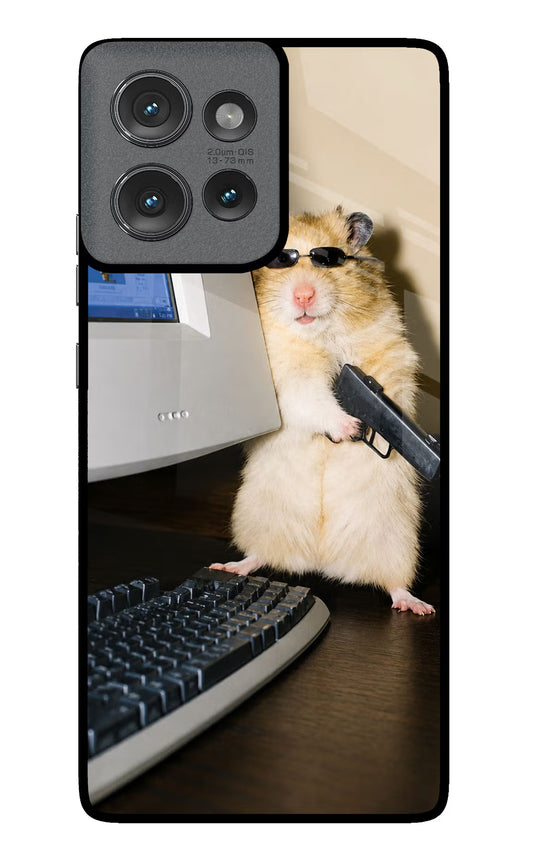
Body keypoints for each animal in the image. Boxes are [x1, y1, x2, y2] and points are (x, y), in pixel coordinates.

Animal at [211, 207, 435, 615]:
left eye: (327, 260)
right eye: (280, 261)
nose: (304, 295)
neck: (319, 333)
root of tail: (321, 561)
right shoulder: (288, 379)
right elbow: (313, 399)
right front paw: (350, 428)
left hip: (397, 541)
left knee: (394, 583)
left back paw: (417, 605)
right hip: (257, 517)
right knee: (259, 555)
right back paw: (230, 566)